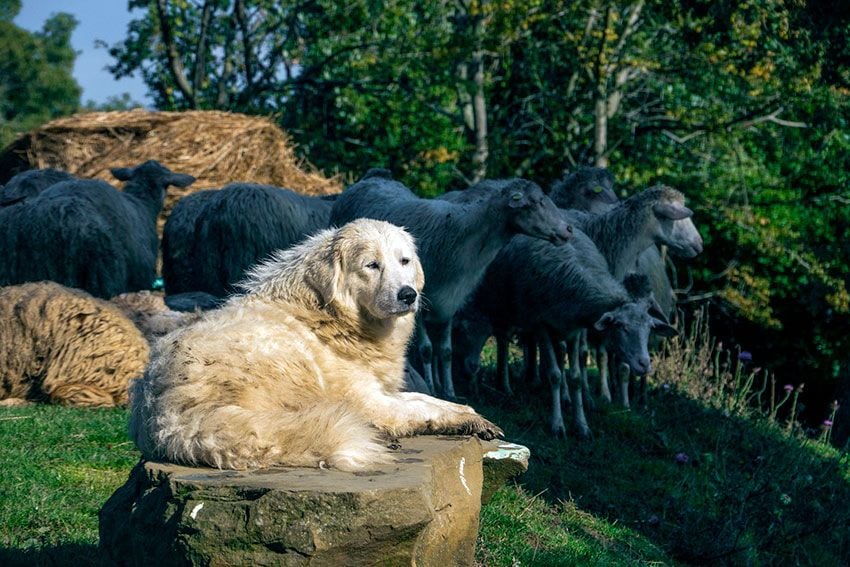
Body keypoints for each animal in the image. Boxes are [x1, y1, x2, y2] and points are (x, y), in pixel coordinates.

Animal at [129, 220, 500, 472]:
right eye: (372, 265)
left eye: (404, 261)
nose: (408, 294)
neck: (328, 315)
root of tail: (162, 416)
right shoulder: (371, 401)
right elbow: (423, 408)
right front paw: (471, 420)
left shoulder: (384, 391)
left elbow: (428, 399)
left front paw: (471, 414)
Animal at [332, 171, 568, 398]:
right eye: (534, 203)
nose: (567, 231)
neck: (462, 236)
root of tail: (372, 179)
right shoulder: (420, 303)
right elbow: (426, 349)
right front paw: (430, 385)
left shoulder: (449, 300)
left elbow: (445, 351)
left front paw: (449, 390)